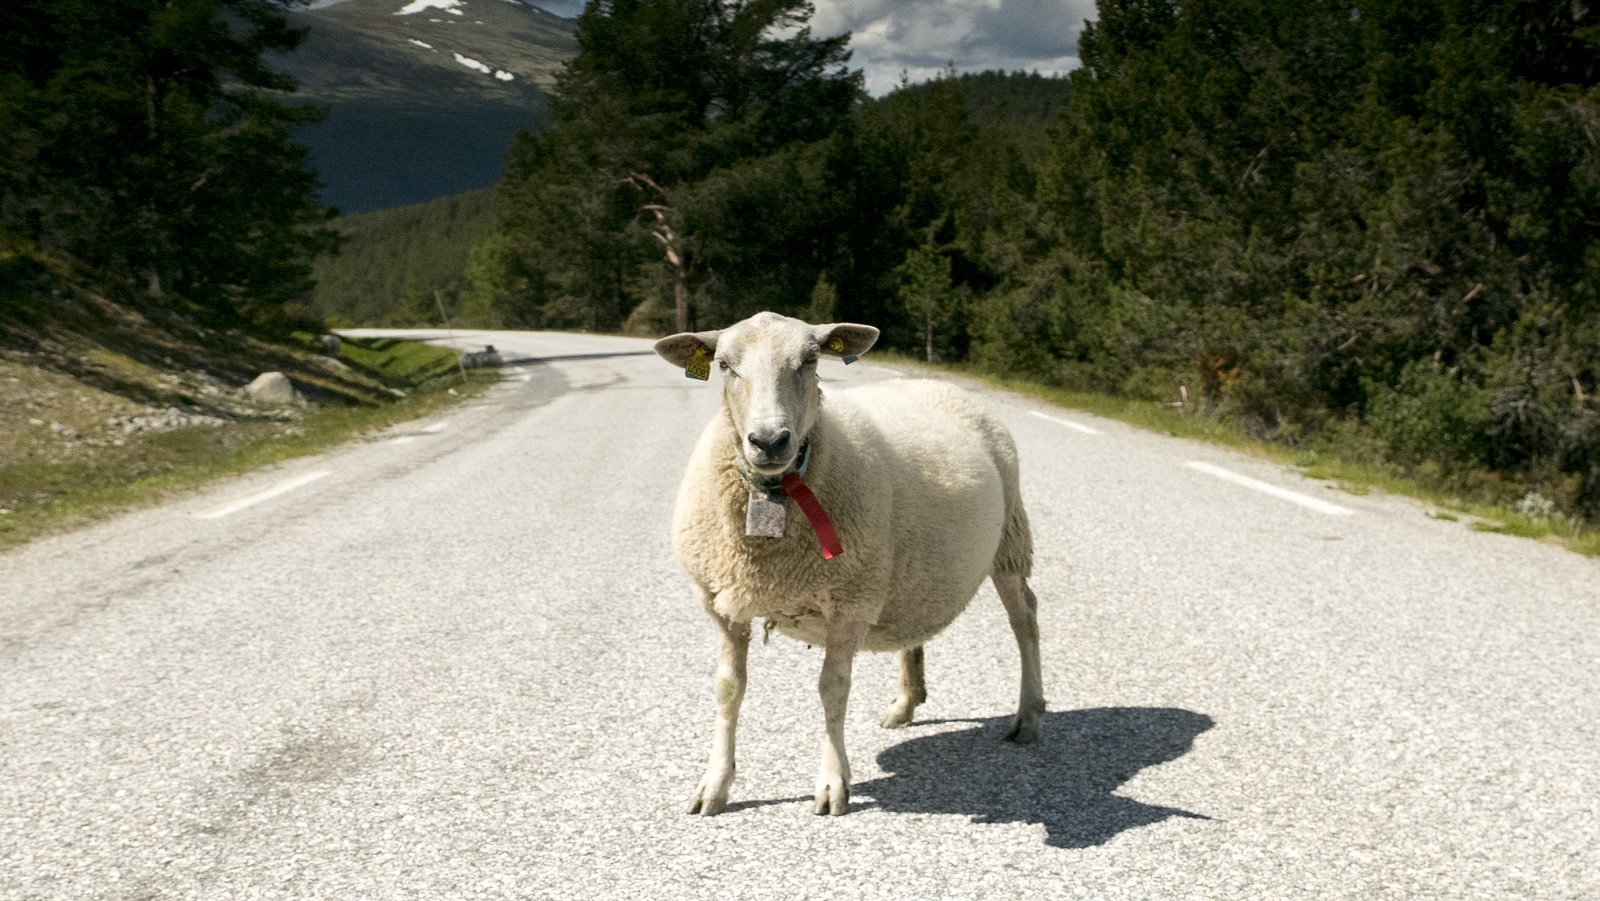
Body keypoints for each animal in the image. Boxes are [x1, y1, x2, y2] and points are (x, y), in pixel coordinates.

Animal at [654, 311, 1044, 817]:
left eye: (810, 360)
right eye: (724, 364)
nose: (769, 441)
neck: (775, 491)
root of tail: (936, 383)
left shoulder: (850, 601)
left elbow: (832, 689)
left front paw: (832, 784)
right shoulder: (722, 603)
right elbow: (728, 689)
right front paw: (714, 785)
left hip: (1009, 536)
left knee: (1025, 620)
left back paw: (1029, 714)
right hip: (911, 565)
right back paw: (906, 703)